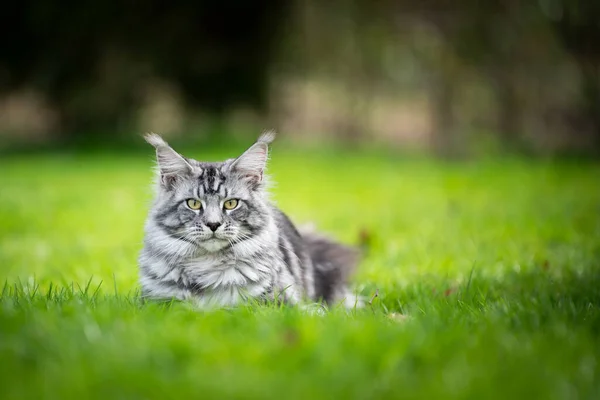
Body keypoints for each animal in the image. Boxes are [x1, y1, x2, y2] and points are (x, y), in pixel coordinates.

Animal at [137, 131, 360, 310]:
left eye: (230, 204)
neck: (207, 265)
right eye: (193, 203)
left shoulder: (281, 303)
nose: (213, 224)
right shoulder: (157, 302)